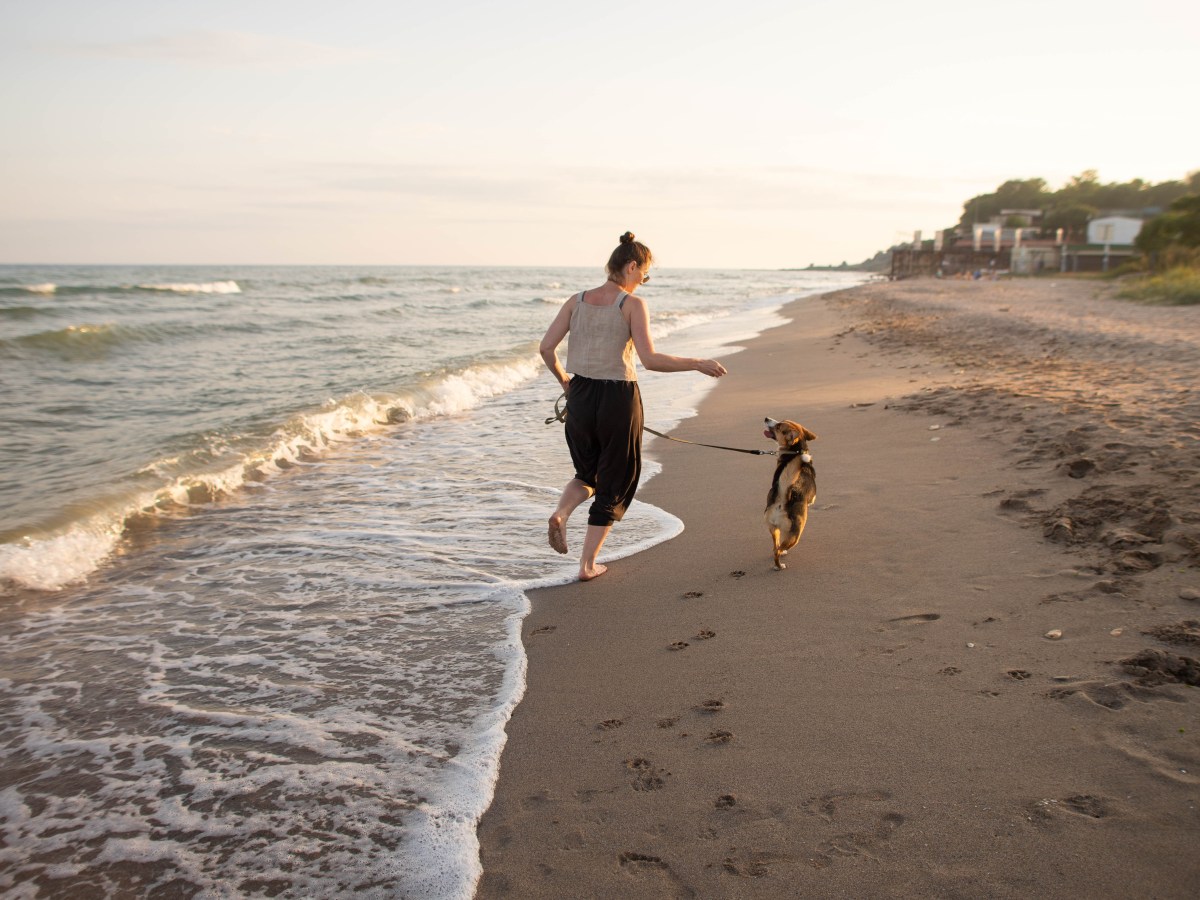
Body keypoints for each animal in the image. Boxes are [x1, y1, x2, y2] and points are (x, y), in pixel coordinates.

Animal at [763, 417, 820, 571]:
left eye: (778, 426)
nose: (766, 418)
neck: (795, 451)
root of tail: (781, 502)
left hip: (773, 529)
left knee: (775, 546)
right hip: (795, 535)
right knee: (778, 550)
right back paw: (779, 565)